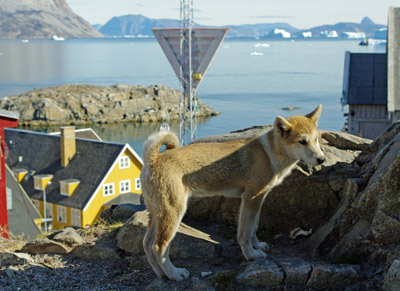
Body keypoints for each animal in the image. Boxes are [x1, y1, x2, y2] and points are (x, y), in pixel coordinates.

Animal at [141, 104, 324, 280]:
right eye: (302, 141)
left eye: (316, 139)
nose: (321, 159)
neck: (269, 153)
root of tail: (154, 158)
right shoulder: (251, 198)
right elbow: (245, 232)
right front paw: (251, 255)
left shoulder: (258, 199)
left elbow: (254, 226)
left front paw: (257, 245)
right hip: (174, 211)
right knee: (158, 247)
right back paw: (174, 274)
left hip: (157, 212)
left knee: (147, 244)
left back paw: (161, 274)